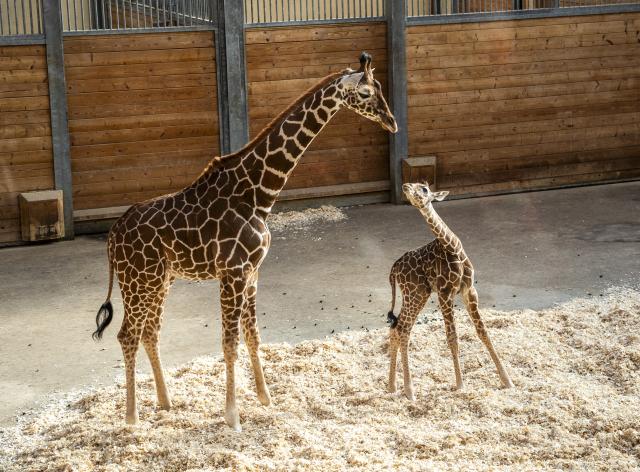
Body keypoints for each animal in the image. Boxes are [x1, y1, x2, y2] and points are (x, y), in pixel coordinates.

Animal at [92, 52, 397, 431]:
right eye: (367, 93)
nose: (392, 122)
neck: (260, 195)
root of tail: (112, 238)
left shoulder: (253, 272)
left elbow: (253, 335)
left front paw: (266, 399)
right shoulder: (232, 272)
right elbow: (229, 343)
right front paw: (233, 417)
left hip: (160, 280)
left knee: (150, 332)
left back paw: (166, 403)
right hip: (138, 281)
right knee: (127, 335)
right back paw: (132, 419)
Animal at [386, 182, 513, 401]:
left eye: (424, 189)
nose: (406, 186)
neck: (453, 247)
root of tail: (394, 268)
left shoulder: (469, 290)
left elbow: (483, 331)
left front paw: (507, 381)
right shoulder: (445, 293)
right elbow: (452, 337)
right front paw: (460, 385)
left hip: (418, 294)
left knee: (398, 327)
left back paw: (393, 387)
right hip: (415, 292)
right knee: (403, 329)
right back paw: (410, 391)